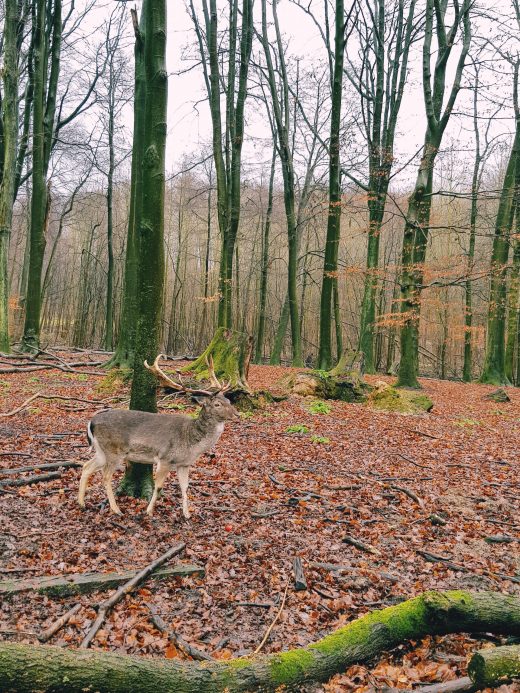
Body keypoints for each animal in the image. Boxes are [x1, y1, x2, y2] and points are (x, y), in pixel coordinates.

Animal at [77, 356, 240, 520]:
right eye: (217, 404)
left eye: (229, 401)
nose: (237, 414)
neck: (191, 442)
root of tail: (91, 422)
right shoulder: (165, 458)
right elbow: (159, 486)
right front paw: (149, 511)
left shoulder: (184, 464)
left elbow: (185, 487)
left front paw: (187, 514)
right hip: (113, 450)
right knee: (105, 476)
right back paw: (116, 509)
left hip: (101, 450)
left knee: (86, 466)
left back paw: (81, 503)